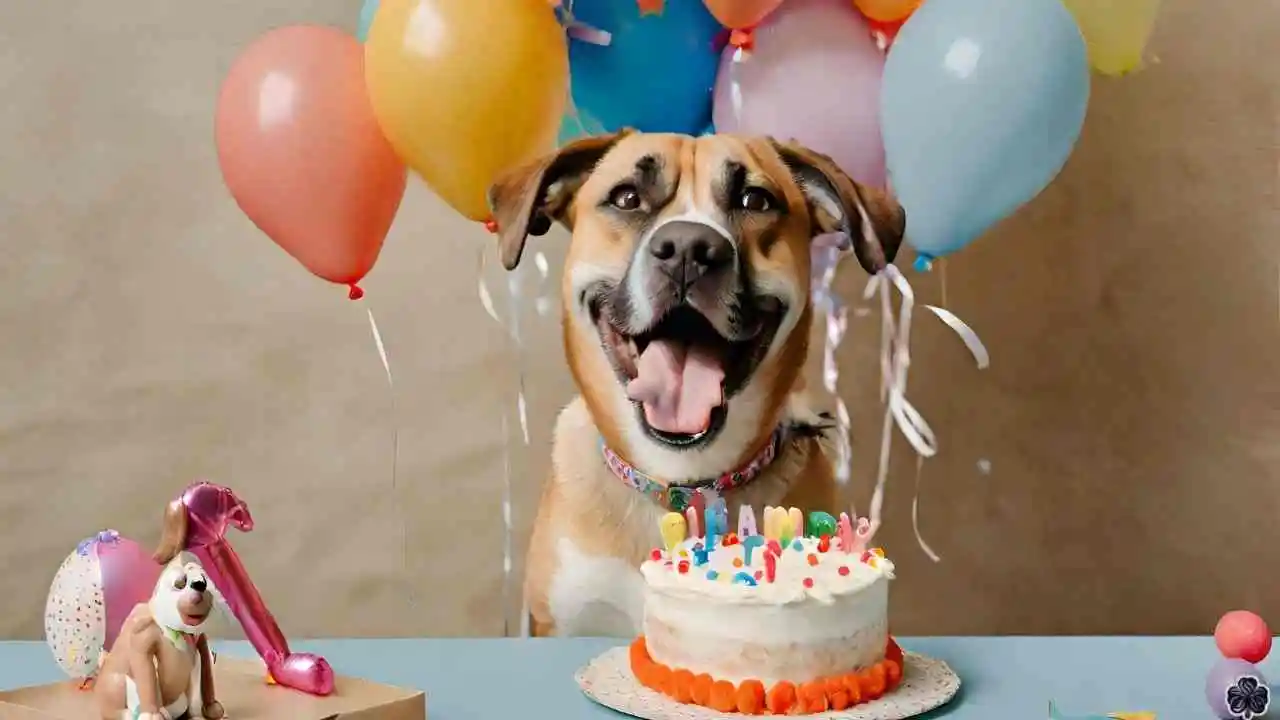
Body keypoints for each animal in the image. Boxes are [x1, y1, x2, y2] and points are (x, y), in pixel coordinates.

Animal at [94, 543, 222, 717]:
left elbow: (204, 669)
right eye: (180, 583)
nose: (200, 585)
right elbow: (145, 669)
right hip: (115, 683)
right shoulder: (143, 636)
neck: (178, 631)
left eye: (204, 579)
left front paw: (208, 710)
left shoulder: (199, 642)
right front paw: (152, 715)